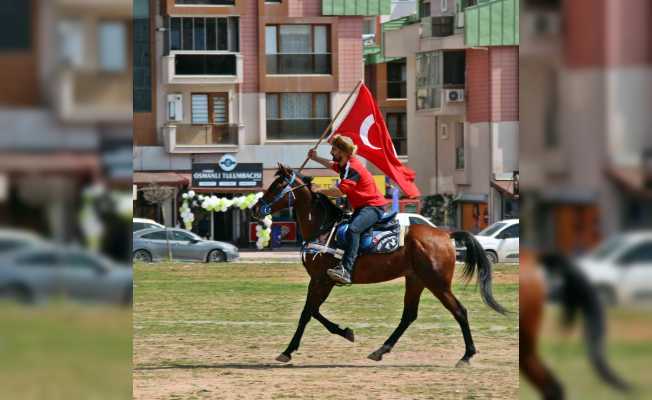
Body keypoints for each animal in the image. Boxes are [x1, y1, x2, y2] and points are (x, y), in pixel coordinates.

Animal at [252, 164, 506, 364]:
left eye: (276, 186)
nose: (255, 208)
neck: (323, 228)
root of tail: (446, 235)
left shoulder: (322, 280)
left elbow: (307, 313)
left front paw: (289, 350)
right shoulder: (320, 281)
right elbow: (311, 312)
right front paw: (345, 332)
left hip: (437, 283)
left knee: (459, 311)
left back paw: (467, 355)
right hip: (416, 280)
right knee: (409, 316)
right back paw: (381, 350)